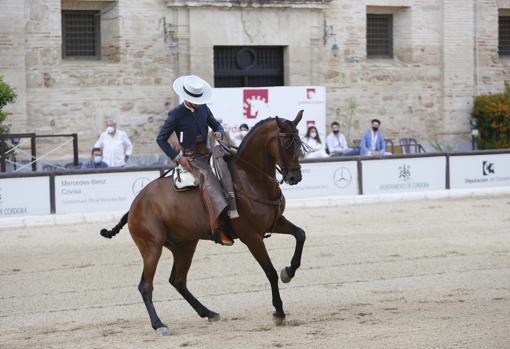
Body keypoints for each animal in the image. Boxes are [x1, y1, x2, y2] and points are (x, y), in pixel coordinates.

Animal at [100, 111, 306, 334]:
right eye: (285, 144)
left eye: (299, 142)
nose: (295, 177)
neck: (249, 178)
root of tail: (135, 205)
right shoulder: (252, 237)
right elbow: (270, 272)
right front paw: (279, 312)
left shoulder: (274, 223)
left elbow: (300, 234)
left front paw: (289, 272)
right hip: (152, 248)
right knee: (146, 286)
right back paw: (159, 324)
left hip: (185, 245)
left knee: (178, 280)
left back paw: (208, 312)